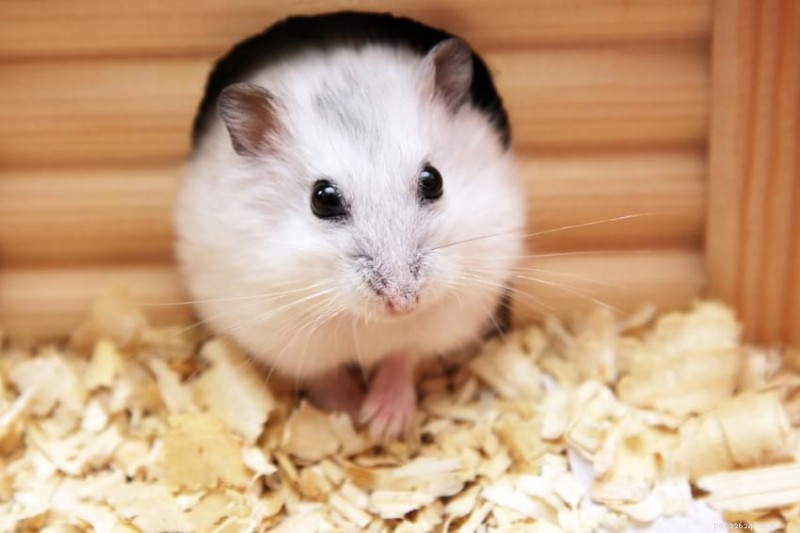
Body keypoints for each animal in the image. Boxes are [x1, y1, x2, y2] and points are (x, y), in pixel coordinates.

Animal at [174, 12, 525, 439]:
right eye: (323, 199)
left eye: (434, 180)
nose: (403, 303)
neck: (370, 323)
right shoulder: (281, 333)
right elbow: (325, 375)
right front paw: (351, 414)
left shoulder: (444, 318)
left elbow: (403, 356)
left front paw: (382, 424)